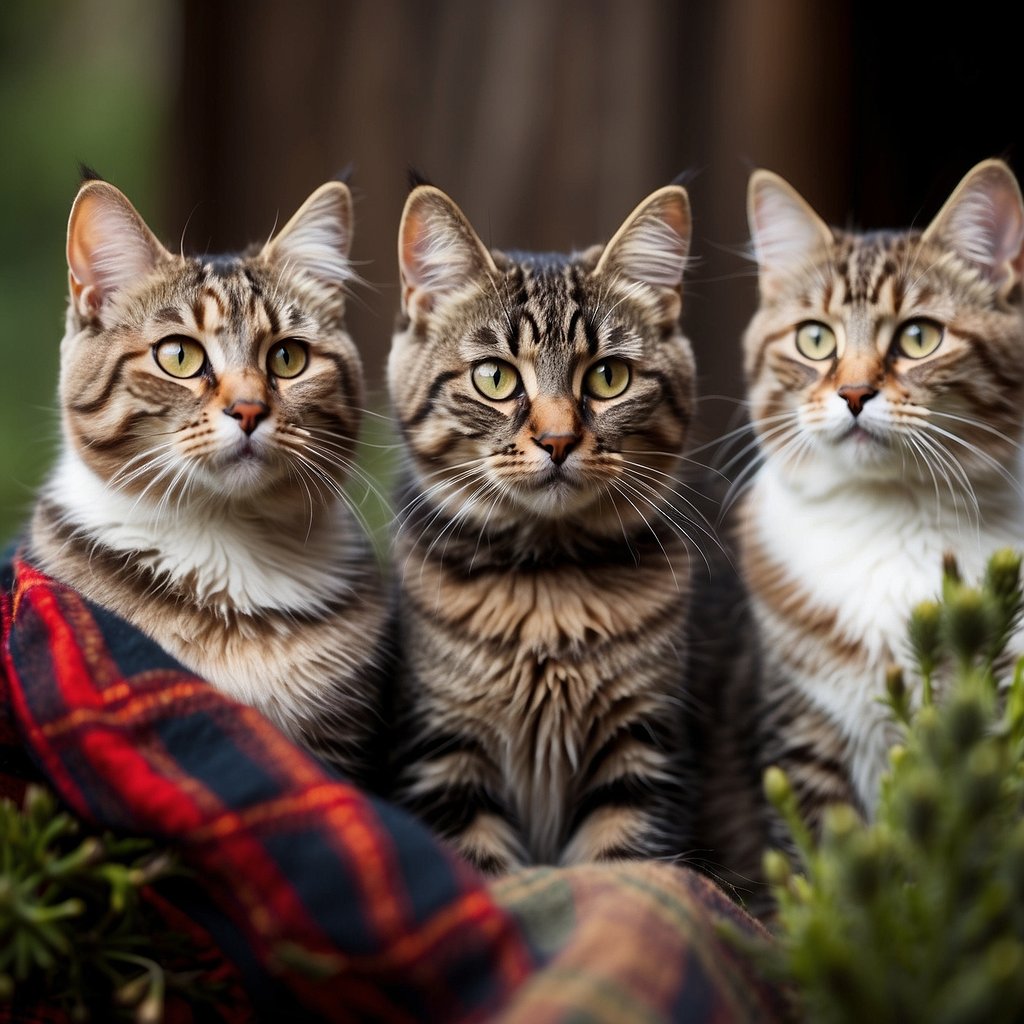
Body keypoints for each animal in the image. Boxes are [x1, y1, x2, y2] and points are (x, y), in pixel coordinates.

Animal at [387, 180, 700, 868]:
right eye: (495, 377)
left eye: (609, 377)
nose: (557, 441)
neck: (547, 586)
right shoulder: (446, 750)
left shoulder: (641, 747)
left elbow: (619, 866)